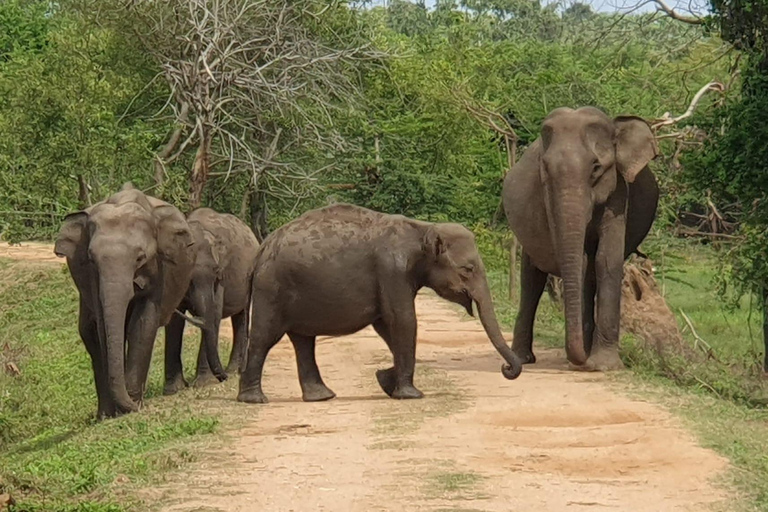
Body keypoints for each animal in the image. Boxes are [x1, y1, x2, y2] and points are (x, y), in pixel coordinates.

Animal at [54, 184, 196, 416]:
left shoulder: (161, 269)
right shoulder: (93, 279)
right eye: (92, 259)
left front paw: (133, 404)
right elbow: (104, 327)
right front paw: (120, 410)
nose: (136, 403)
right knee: (89, 333)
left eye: (140, 258)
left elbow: (143, 323)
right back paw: (103, 415)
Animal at [164, 206, 260, 394]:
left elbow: (213, 315)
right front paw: (173, 389)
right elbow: (174, 323)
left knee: (243, 315)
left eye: (216, 271)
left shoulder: (222, 277)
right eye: (188, 275)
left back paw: (235, 370)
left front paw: (203, 383)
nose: (223, 378)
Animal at [237, 201, 524, 404]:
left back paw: (321, 396)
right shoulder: (392, 271)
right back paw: (254, 400)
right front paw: (410, 394)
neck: (423, 228)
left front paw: (385, 380)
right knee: (265, 336)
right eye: (467, 269)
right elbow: (403, 321)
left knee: (303, 341)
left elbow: (387, 326)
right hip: (272, 289)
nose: (506, 368)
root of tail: (261, 249)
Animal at [504, 107, 660, 372]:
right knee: (531, 279)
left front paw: (603, 365)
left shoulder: (618, 192)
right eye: (544, 167)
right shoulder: (547, 198)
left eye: (596, 167)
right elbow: (578, 262)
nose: (583, 362)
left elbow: (606, 260)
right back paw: (523, 359)